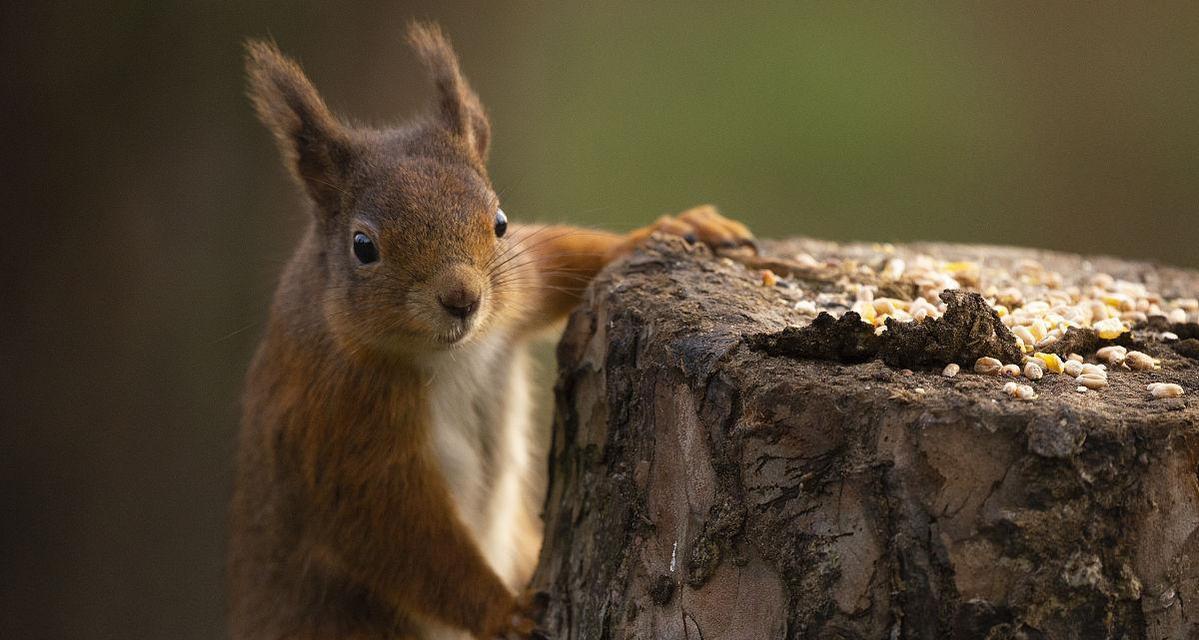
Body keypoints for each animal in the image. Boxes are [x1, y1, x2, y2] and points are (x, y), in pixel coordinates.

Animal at [230, 22, 752, 640]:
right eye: (363, 247)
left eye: (500, 223)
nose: (463, 299)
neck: (452, 353)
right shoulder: (336, 416)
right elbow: (393, 527)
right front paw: (506, 613)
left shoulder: (517, 293)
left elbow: (563, 261)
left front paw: (670, 230)